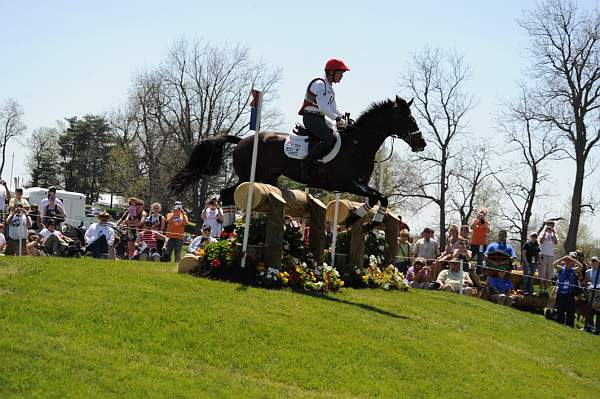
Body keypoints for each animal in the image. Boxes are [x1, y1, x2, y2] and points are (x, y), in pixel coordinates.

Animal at [169, 96, 426, 234]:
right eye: (409, 119)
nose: (421, 143)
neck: (358, 144)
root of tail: (242, 140)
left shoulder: (358, 184)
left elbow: (380, 198)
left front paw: (361, 223)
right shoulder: (348, 183)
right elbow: (376, 197)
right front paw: (357, 222)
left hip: (266, 178)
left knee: (229, 193)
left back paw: (232, 228)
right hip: (249, 176)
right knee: (225, 193)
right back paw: (230, 228)